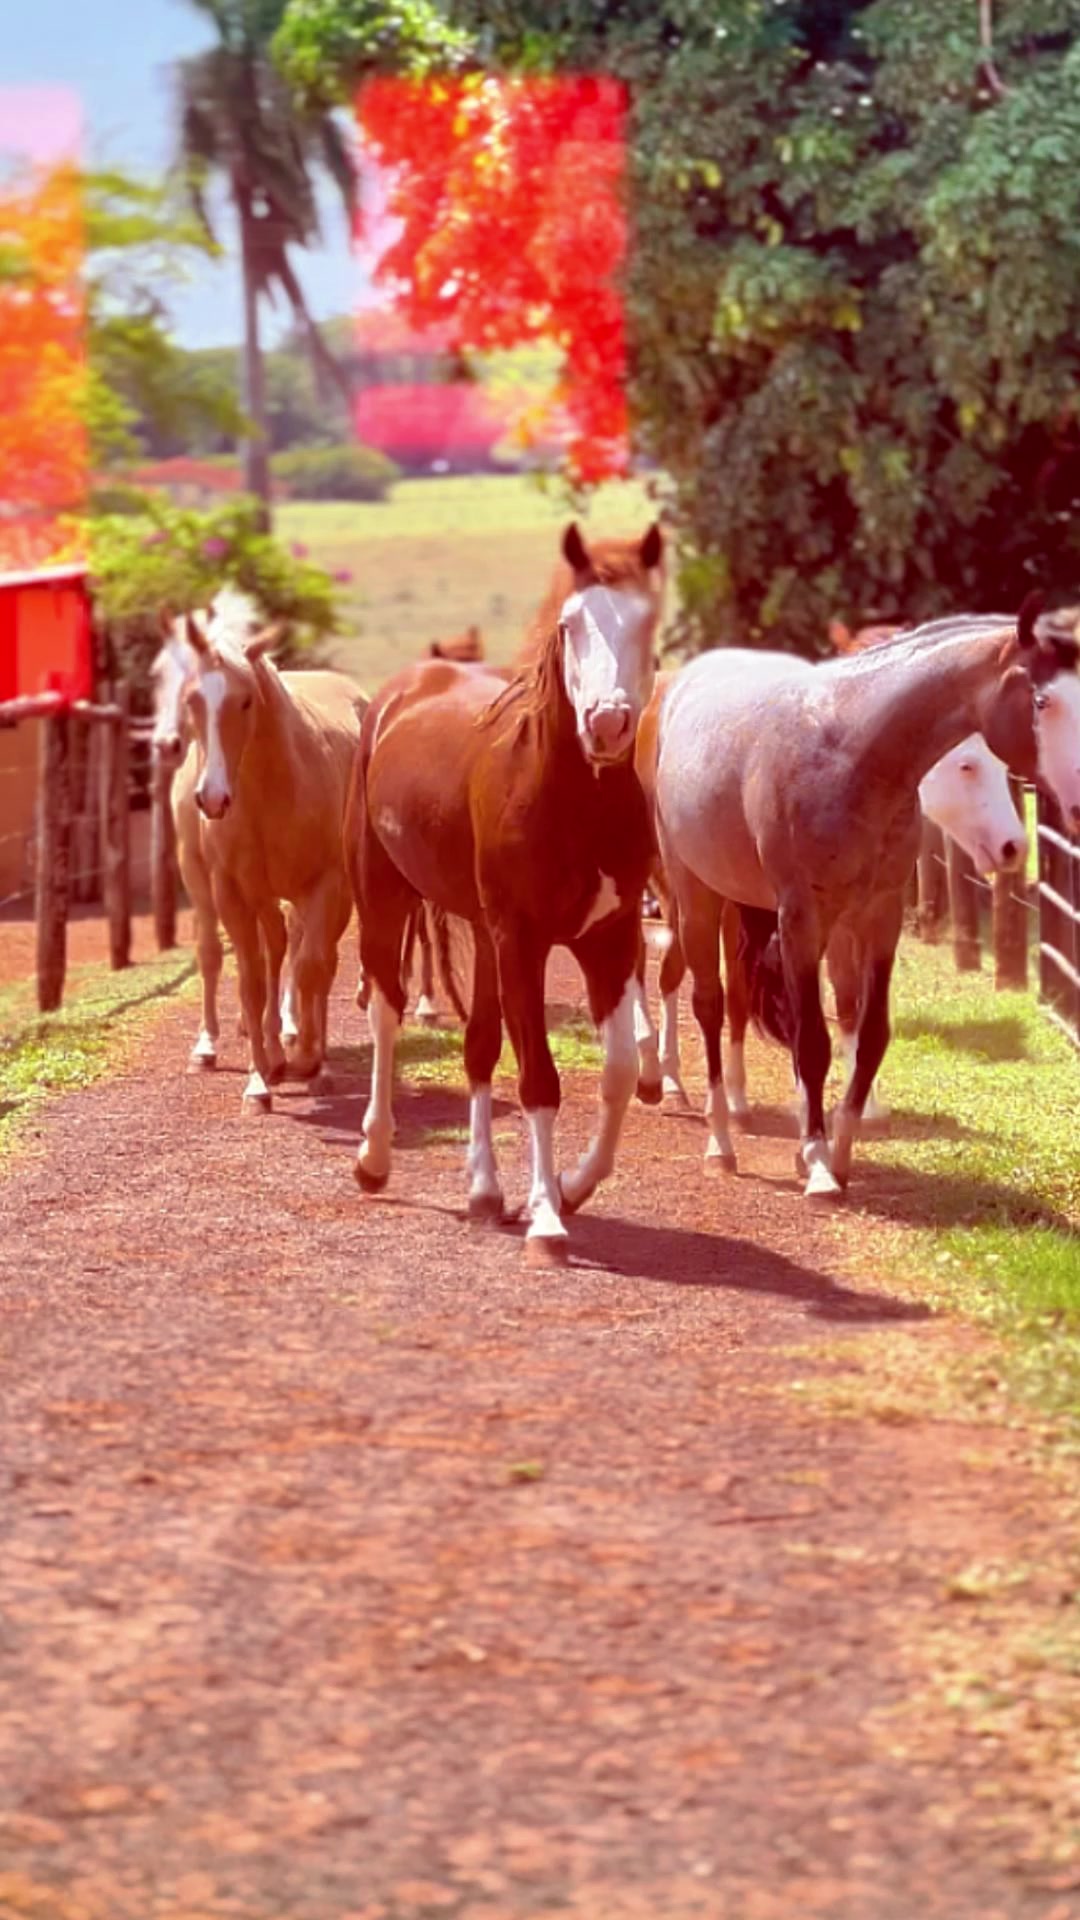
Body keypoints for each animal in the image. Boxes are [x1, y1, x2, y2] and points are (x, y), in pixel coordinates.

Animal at [177, 598, 365, 1112]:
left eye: (245, 700)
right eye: (193, 699)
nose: (212, 798)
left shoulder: (325, 885)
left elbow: (312, 969)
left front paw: (309, 1062)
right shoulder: (233, 893)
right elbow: (252, 981)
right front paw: (260, 1081)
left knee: (317, 963)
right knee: (268, 952)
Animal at [345, 521, 665, 1262]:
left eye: (647, 619)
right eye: (571, 624)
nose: (608, 724)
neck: (574, 801)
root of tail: (400, 692)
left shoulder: (607, 942)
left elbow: (618, 1073)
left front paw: (572, 1187)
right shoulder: (524, 941)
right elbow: (540, 1079)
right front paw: (547, 1219)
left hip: (484, 937)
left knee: (479, 1047)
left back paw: (485, 1192)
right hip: (385, 899)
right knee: (386, 1013)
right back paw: (374, 1159)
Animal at [651, 600, 1080, 1199]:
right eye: (1044, 701)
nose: (1014, 845)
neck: (849, 753)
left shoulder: (879, 917)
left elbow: (870, 1034)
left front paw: (840, 1149)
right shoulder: (803, 919)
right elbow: (812, 1040)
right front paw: (817, 1163)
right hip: (696, 896)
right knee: (708, 1005)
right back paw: (718, 1140)